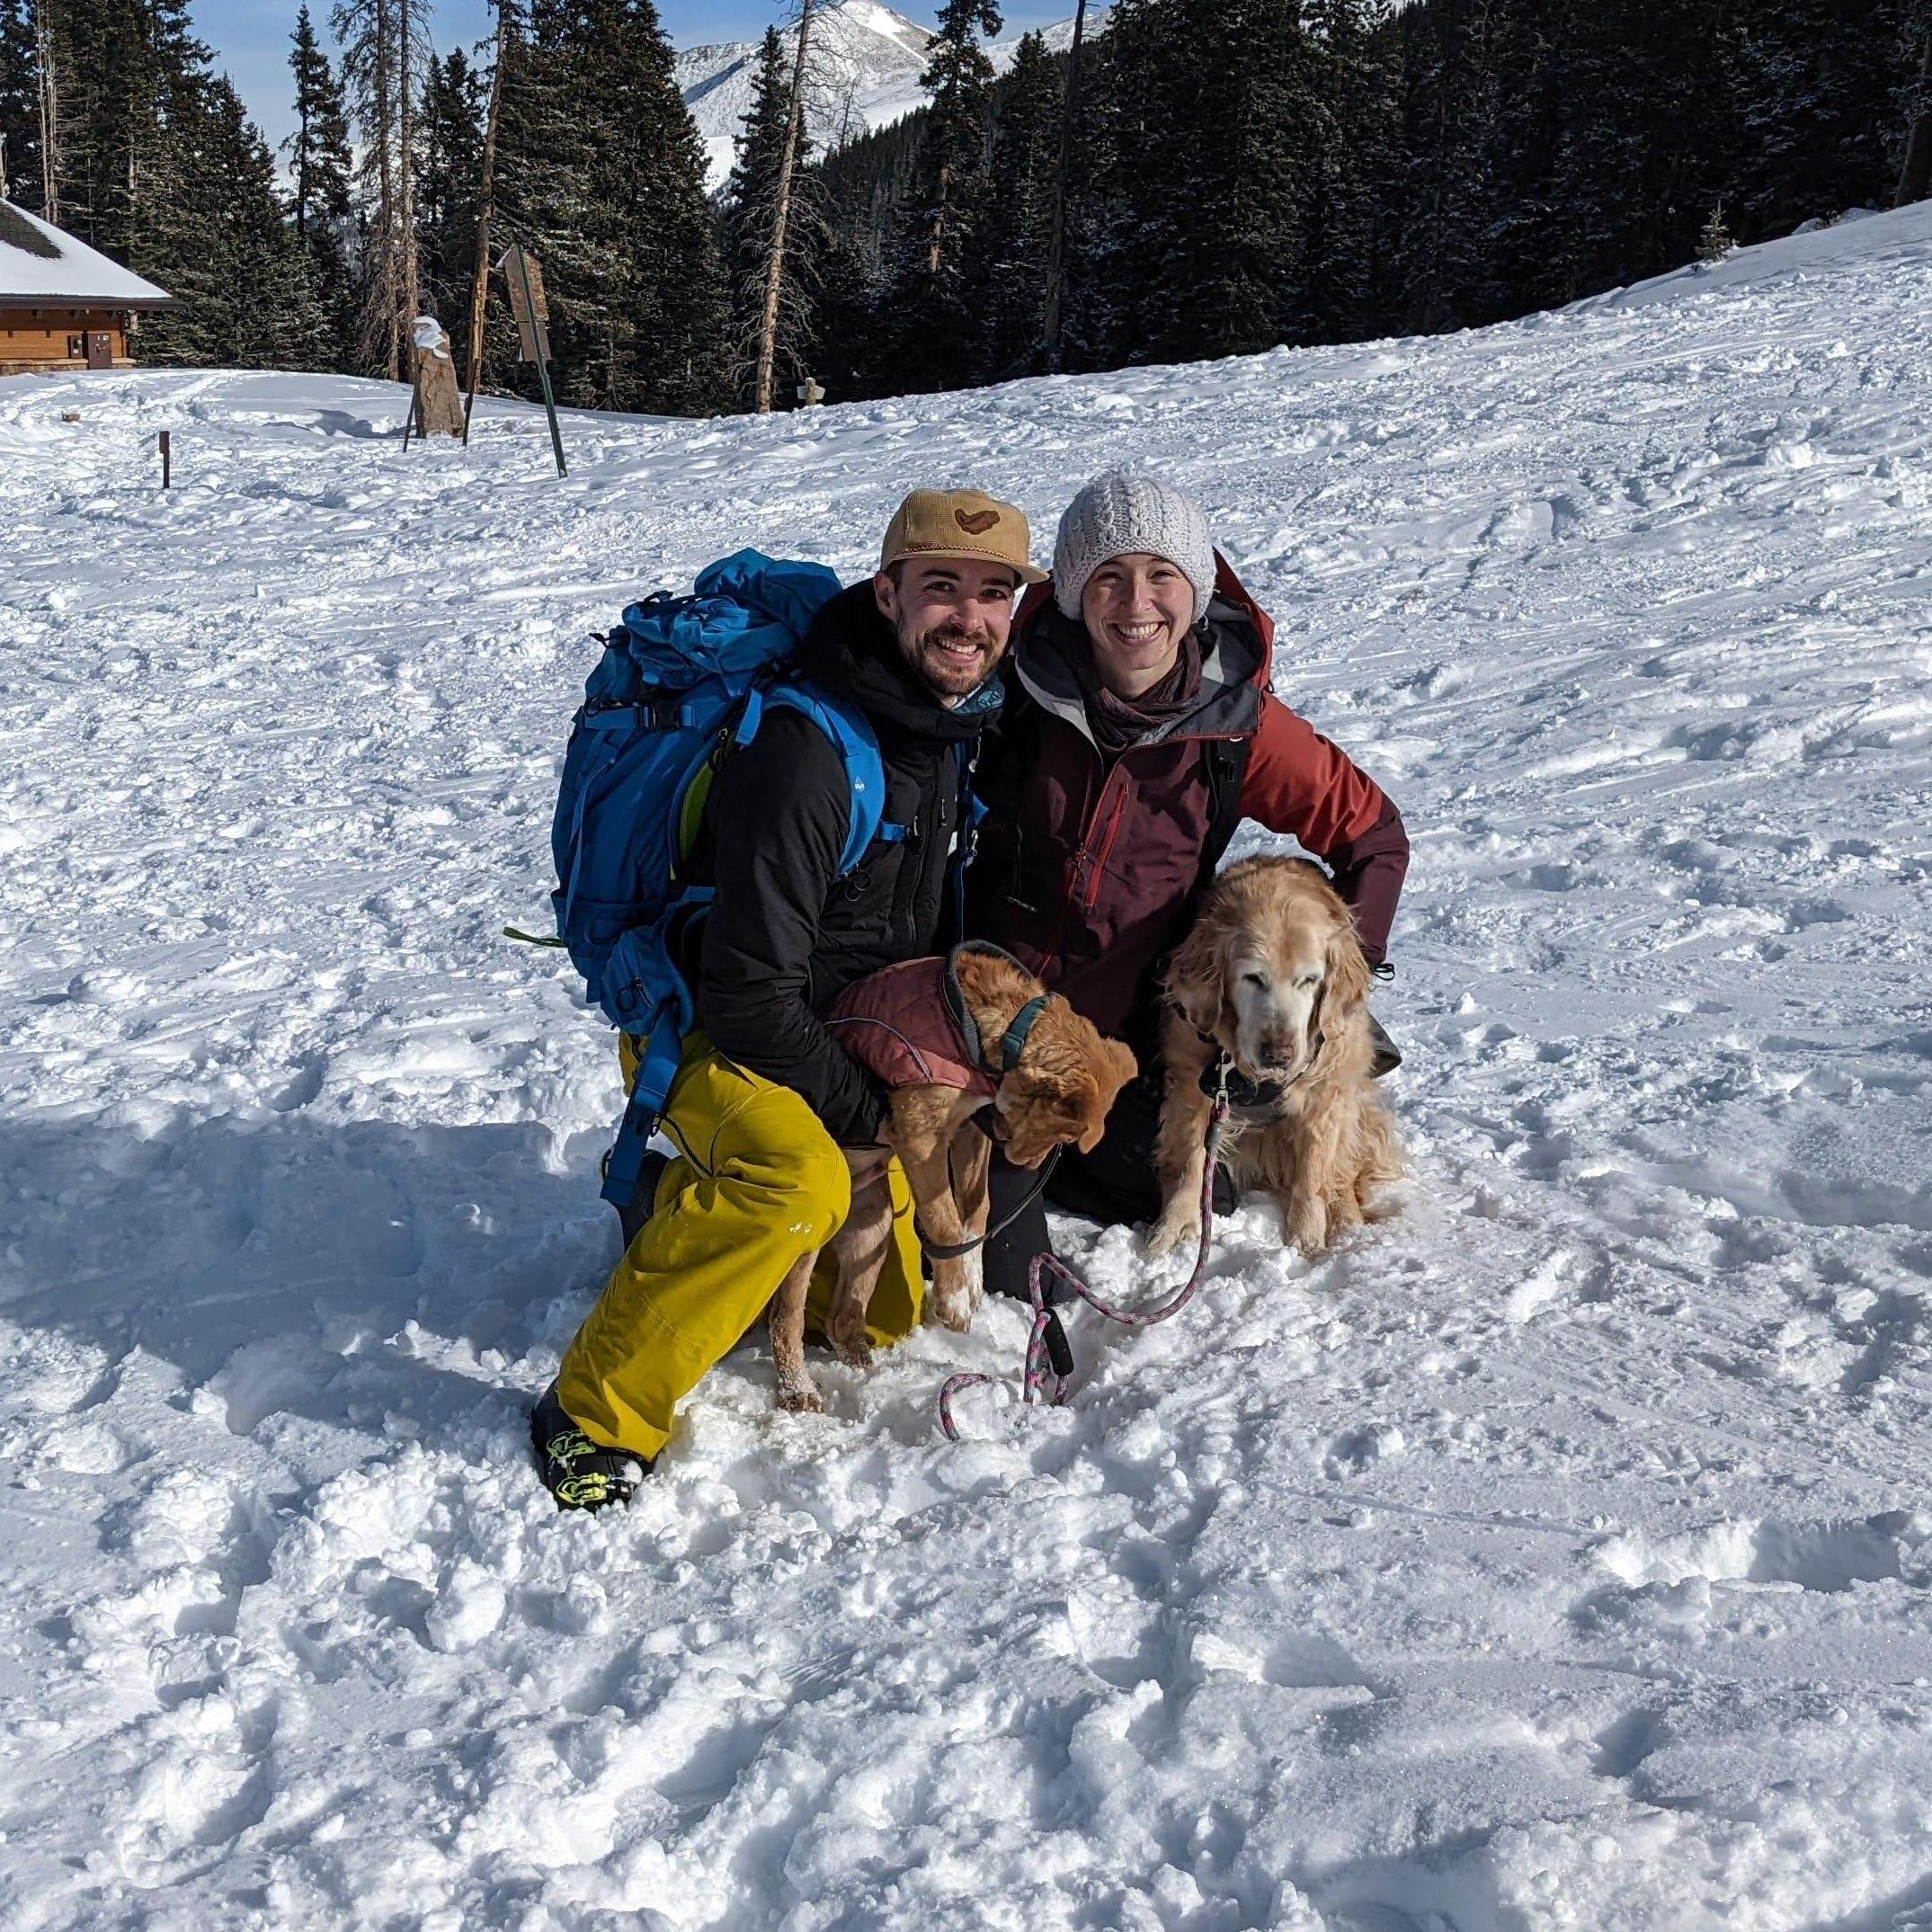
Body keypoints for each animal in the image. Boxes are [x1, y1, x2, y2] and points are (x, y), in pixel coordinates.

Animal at [765, 947, 1128, 1414]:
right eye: (1064, 1137)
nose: (1027, 1165)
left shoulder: (971, 1128)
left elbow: (975, 1207)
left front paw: (971, 1279)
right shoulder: (920, 1134)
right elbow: (943, 1219)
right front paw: (954, 1299)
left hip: (871, 1227)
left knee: (842, 1319)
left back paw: (866, 1374)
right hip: (810, 1245)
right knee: (785, 1318)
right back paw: (798, 1389)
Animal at [1144, 858, 1406, 1251]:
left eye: (1309, 980)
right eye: (1253, 978)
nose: (1279, 1054)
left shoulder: (1327, 1085)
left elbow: (1314, 1170)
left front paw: (1306, 1239)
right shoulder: (1191, 1078)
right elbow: (1191, 1157)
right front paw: (1175, 1226)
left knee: (1341, 1173)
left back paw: (1347, 1223)